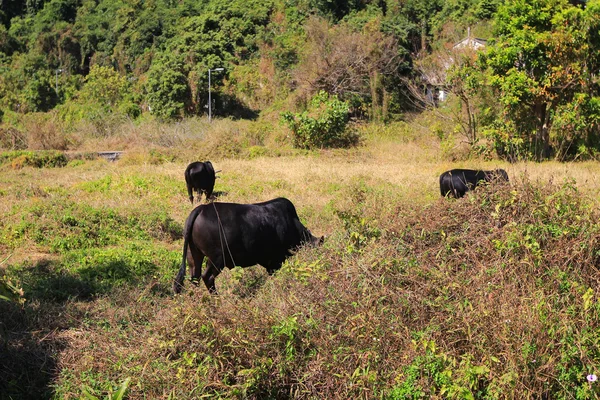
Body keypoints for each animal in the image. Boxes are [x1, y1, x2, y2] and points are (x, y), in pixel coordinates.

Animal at [172, 198, 324, 294]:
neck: (291, 222)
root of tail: (201, 209)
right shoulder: (276, 260)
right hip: (217, 258)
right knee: (207, 277)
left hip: (193, 254)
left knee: (194, 277)